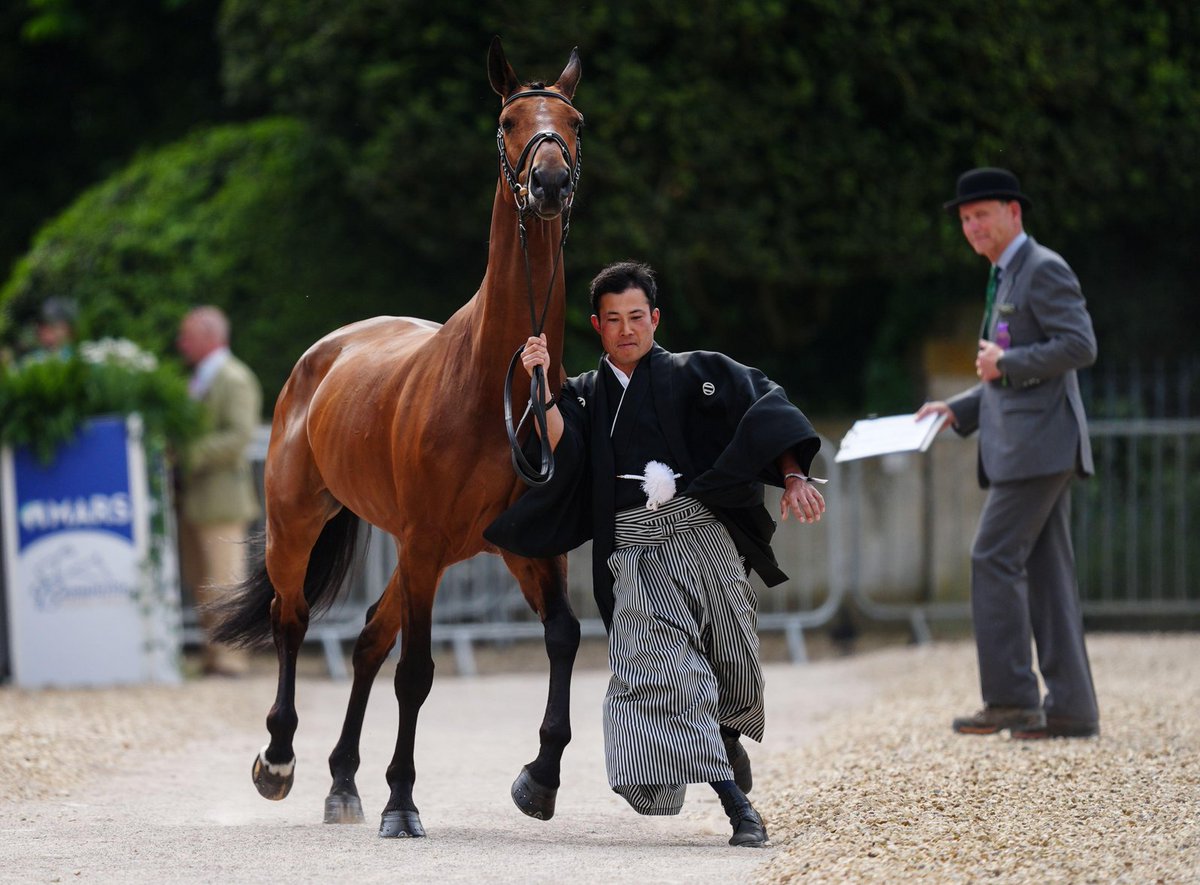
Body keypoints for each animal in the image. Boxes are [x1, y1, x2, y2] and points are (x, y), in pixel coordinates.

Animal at [211, 38, 584, 838]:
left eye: (573, 120)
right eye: (508, 121)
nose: (549, 180)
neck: (497, 382)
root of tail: (324, 353)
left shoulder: (527, 546)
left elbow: (564, 636)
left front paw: (538, 779)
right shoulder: (424, 543)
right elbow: (417, 673)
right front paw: (404, 802)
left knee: (366, 641)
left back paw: (343, 782)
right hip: (300, 524)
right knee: (293, 620)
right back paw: (280, 760)